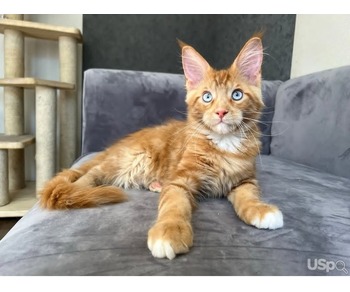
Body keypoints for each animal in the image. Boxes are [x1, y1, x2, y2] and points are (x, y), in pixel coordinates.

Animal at [41, 37, 284, 260]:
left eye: (237, 95)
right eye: (207, 97)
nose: (221, 112)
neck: (223, 145)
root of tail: (116, 146)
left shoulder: (245, 180)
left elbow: (249, 196)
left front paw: (260, 209)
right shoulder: (180, 180)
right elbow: (174, 205)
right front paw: (170, 232)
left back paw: (156, 184)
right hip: (129, 159)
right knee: (90, 174)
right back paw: (75, 189)